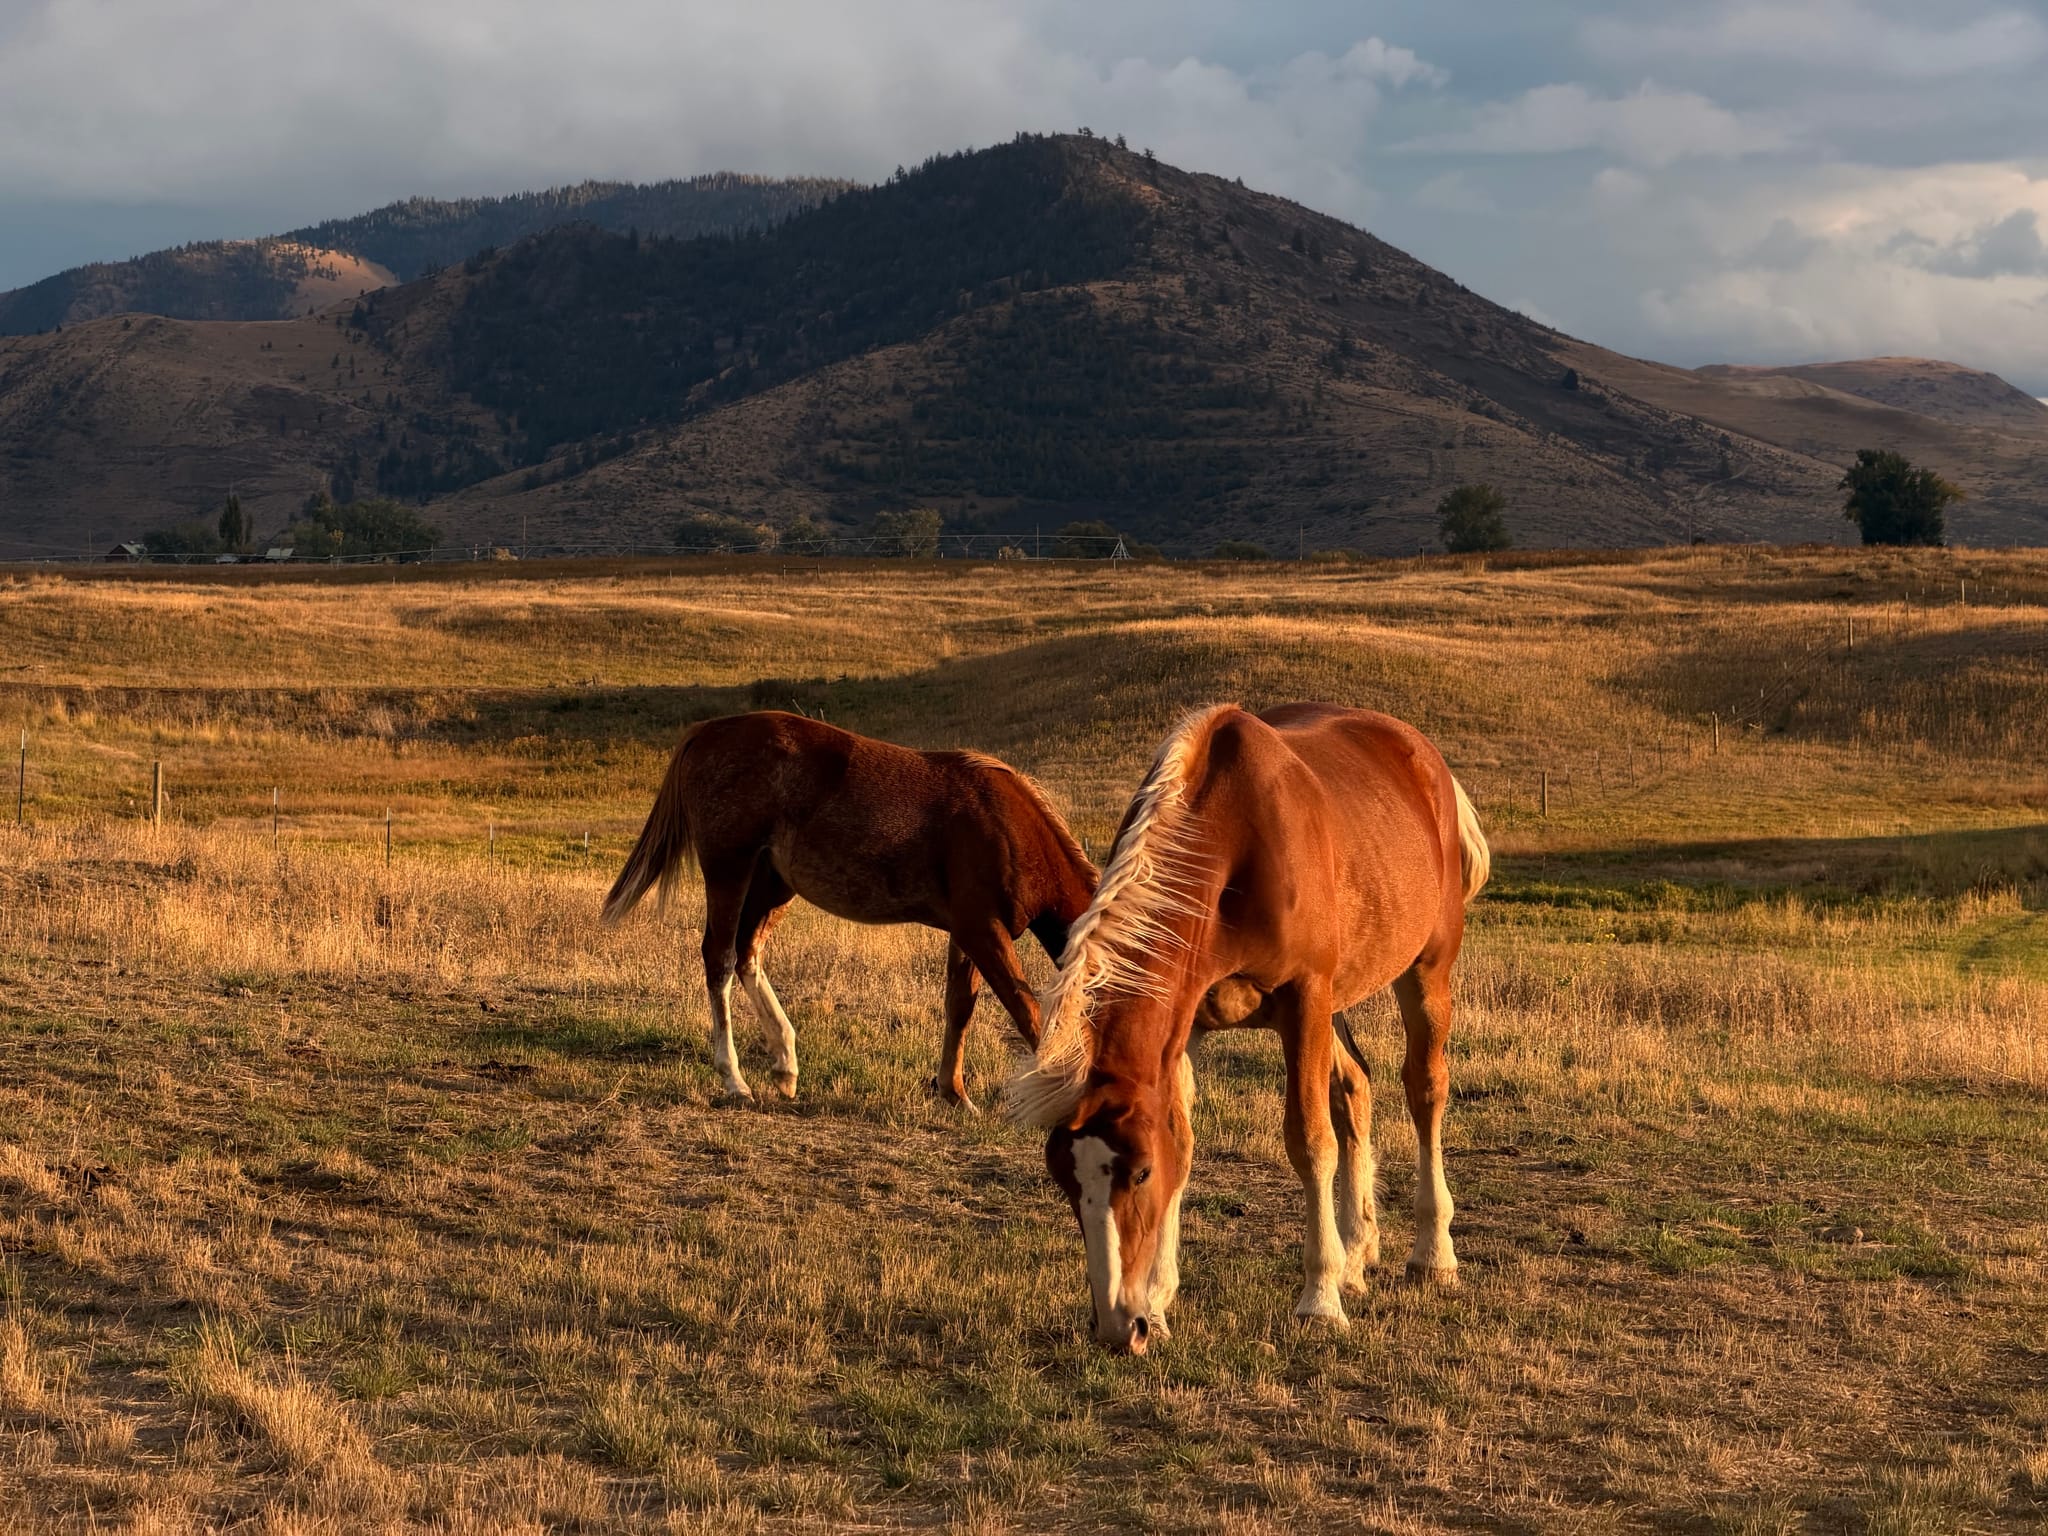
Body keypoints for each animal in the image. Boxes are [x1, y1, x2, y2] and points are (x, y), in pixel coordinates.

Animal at [603, 711, 1097, 1107]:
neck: (1006, 826)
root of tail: (707, 731)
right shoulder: (982, 931)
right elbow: (1027, 1011)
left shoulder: (969, 934)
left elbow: (960, 1007)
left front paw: (954, 1093)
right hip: (730, 870)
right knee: (720, 959)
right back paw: (735, 1079)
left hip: (771, 885)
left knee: (747, 955)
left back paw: (785, 1063)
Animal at [1008, 702, 1489, 1352]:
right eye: (1063, 1179)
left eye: (1139, 1172)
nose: (1116, 1326)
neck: (1230, 842)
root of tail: (1424, 758)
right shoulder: (1188, 1026)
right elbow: (1185, 1142)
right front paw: (1158, 1303)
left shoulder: (1304, 999)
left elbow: (1310, 1141)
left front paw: (1319, 1299)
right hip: (1337, 1003)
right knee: (1356, 1087)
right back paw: (1357, 1254)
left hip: (1423, 973)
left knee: (1424, 1090)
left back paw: (1432, 1256)